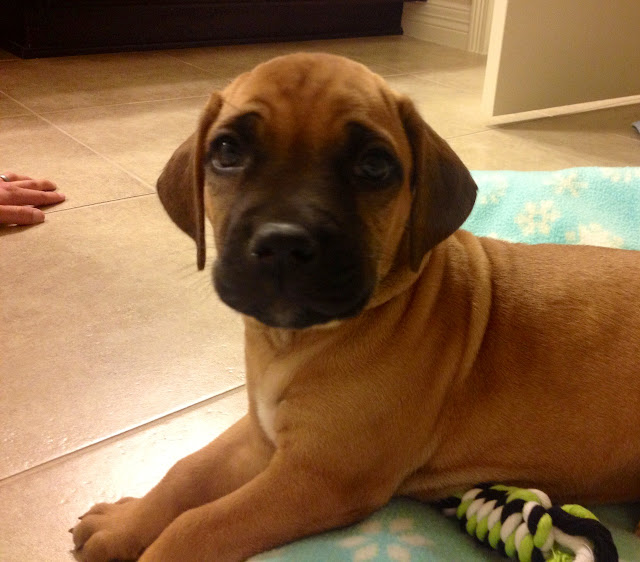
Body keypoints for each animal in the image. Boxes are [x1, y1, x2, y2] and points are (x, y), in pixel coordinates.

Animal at [71, 53, 640, 561]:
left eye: (373, 165)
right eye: (227, 151)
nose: (282, 242)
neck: (295, 341)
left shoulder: (319, 475)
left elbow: (198, 525)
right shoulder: (261, 437)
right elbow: (184, 473)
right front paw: (125, 524)